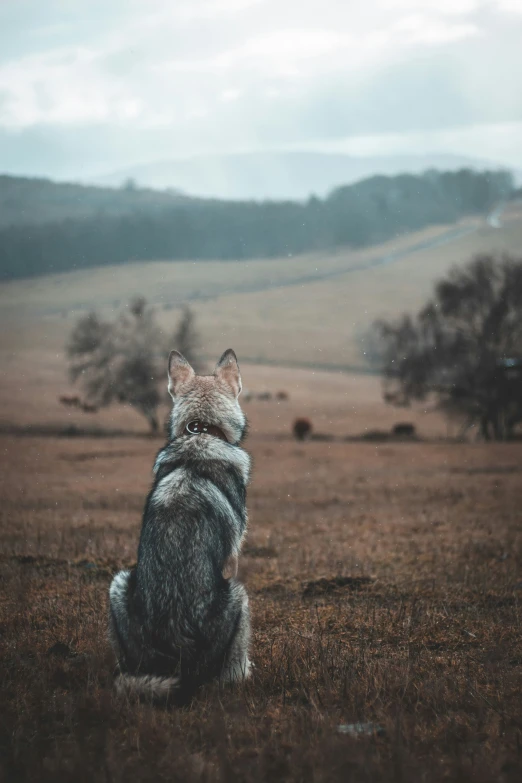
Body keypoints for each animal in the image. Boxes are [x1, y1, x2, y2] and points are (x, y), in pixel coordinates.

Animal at [107, 350, 250, 704]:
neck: (202, 432)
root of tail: (176, 658)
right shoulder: (232, 561)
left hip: (117, 584)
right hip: (240, 597)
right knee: (228, 675)